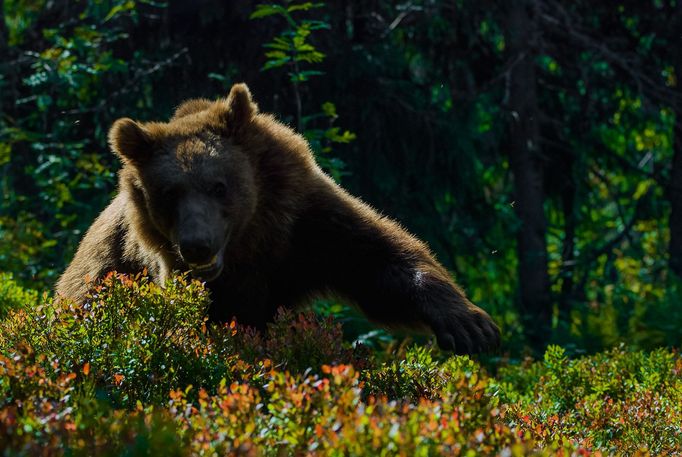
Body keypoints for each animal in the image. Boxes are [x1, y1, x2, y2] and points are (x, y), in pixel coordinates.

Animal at [55, 83, 496, 352]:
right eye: (169, 193)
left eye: (219, 186)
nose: (198, 245)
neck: (247, 245)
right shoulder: (171, 269)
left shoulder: (302, 225)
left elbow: (377, 258)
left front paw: (470, 325)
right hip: (97, 281)